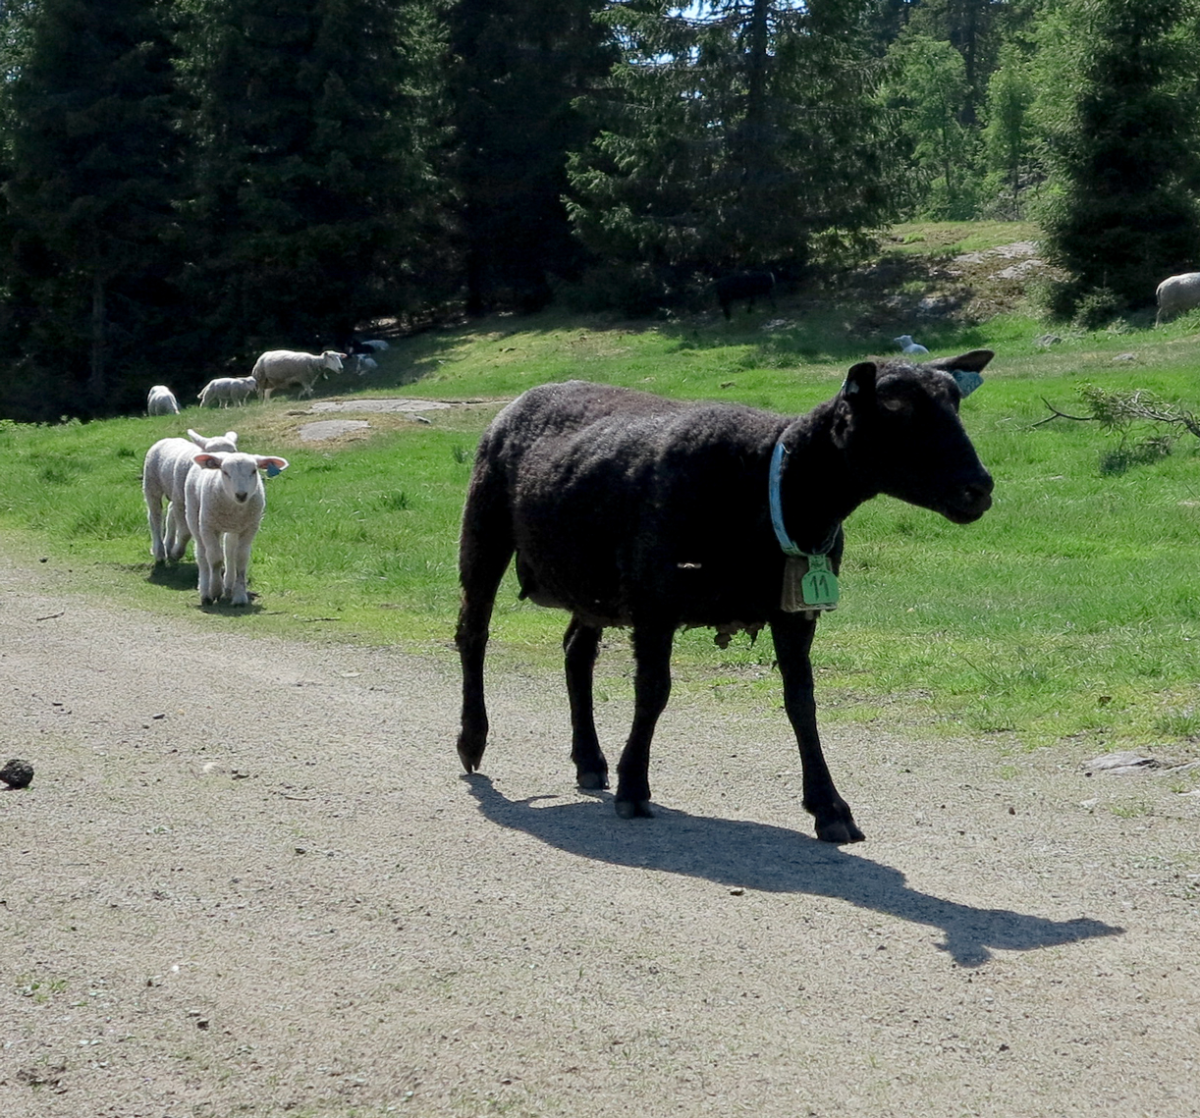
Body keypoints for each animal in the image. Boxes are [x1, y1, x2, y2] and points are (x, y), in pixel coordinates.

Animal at [143, 429, 239, 563]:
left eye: (234, 452)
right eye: (211, 455)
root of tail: (168, 439)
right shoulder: (183, 504)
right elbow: (185, 532)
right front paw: (177, 553)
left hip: (175, 492)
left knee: (170, 512)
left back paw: (168, 545)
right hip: (152, 484)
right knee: (155, 516)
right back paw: (160, 551)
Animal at [184, 451, 288, 606]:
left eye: (254, 471)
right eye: (225, 472)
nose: (241, 495)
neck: (234, 507)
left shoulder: (250, 528)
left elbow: (241, 558)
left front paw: (239, 596)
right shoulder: (208, 526)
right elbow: (215, 558)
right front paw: (215, 589)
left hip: (234, 528)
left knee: (229, 550)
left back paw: (228, 586)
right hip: (194, 516)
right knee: (202, 553)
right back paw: (205, 592)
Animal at [455, 350, 994, 843]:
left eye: (955, 403)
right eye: (896, 409)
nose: (980, 489)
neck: (772, 482)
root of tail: (526, 397)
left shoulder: (795, 612)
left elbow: (802, 701)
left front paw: (830, 808)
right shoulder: (654, 600)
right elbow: (653, 691)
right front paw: (634, 789)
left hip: (591, 580)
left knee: (575, 652)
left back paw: (589, 760)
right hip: (485, 524)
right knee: (473, 634)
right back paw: (472, 742)